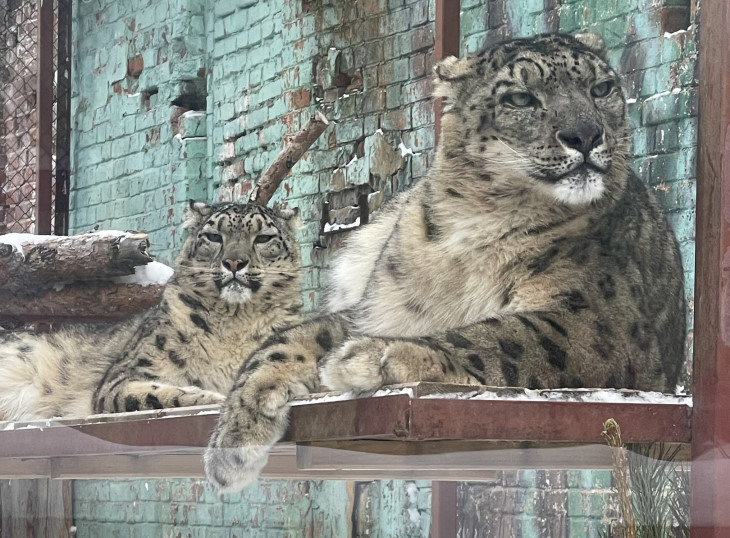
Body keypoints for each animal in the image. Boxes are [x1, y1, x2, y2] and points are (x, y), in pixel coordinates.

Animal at [0, 200, 302, 418]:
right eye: (214, 236)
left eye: (263, 238)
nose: (234, 262)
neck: (235, 324)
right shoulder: (121, 379)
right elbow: (150, 394)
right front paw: (207, 395)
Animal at [203, 31, 684, 488]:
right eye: (521, 98)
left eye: (601, 88)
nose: (585, 135)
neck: (483, 220)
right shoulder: (376, 310)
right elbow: (289, 340)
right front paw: (233, 438)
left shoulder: (595, 320)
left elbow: (502, 335)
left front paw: (376, 356)